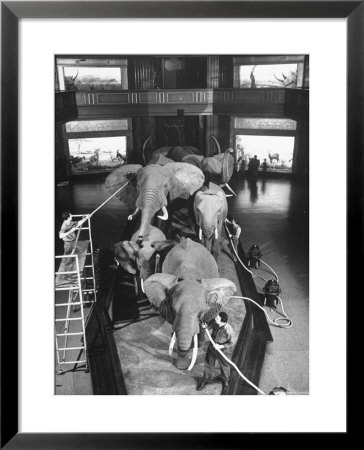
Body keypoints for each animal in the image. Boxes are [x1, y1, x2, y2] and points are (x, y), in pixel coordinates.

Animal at [144, 237, 237, 370]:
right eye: (174, 311)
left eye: (199, 314)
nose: (182, 368)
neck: (189, 277)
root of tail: (186, 239)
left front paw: (195, 346)